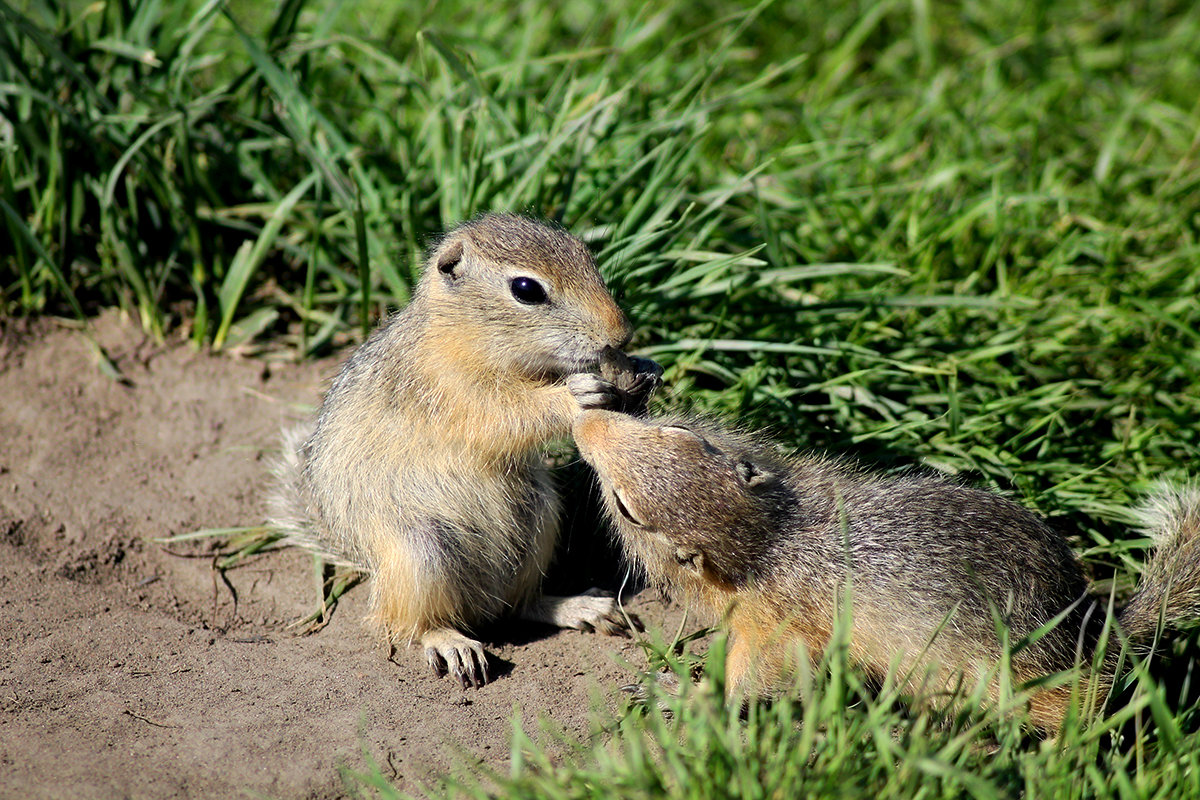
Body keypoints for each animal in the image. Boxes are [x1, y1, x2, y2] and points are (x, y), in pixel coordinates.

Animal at [268, 214, 662, 690]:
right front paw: (574, 396)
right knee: (407, 624)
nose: (622, 333)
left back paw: (579, 607)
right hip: (421, 552)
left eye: (585, 253)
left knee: (518, 606)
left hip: (540, 519)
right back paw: (451, 643)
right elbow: (506, 414)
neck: (463, 333)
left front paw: (644, 366)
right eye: (526, 289)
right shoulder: (454, 391)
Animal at [571, 412, 1200, 734]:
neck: (773, 539)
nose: (586, 420)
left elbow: (756, 679)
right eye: (679, 433)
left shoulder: (774, 627)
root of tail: (1096, 632)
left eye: (626, 508)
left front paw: (681, 692)